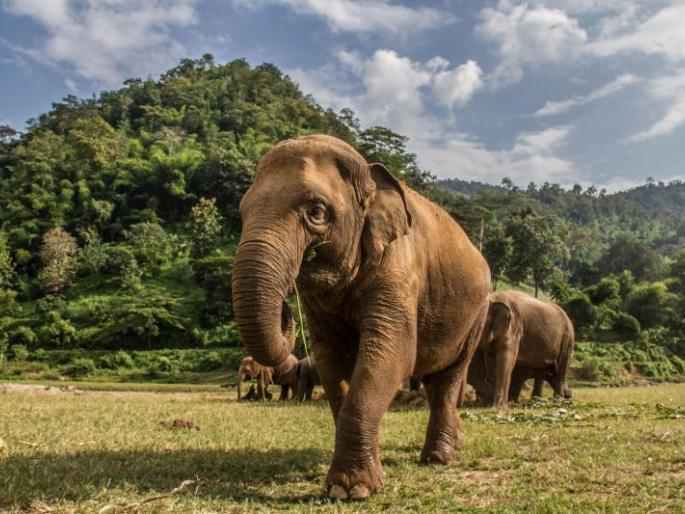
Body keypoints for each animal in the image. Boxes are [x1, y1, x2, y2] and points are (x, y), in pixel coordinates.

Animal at [231, 134, 491, 499]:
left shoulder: (399, 267)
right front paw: (347, 485)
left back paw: (438, 458)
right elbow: (332, 359)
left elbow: (393, 353)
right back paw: (453, 443)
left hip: (477, 314)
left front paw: (353, 490)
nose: (285, 305)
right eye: (242, 211)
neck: (369, 175)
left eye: (316, 212)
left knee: (449, 376)